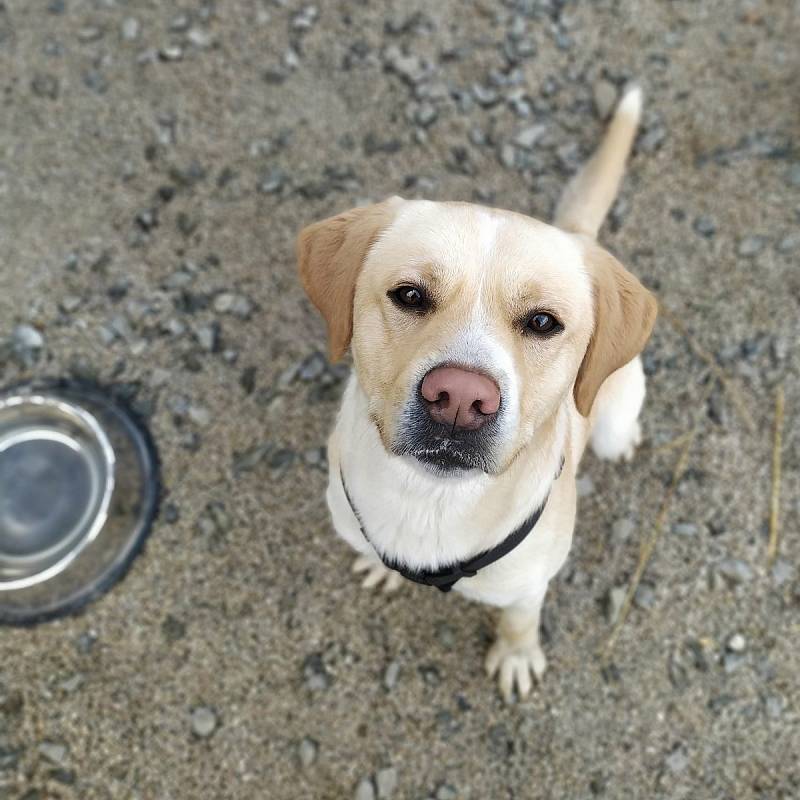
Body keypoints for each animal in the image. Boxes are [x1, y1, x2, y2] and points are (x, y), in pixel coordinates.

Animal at [296, 87, 652, 700]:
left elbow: (519, 620)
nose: (460, 399)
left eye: (542, 322)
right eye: (410, 295)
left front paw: (515, 655)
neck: (430, 504)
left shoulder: (530, 586)